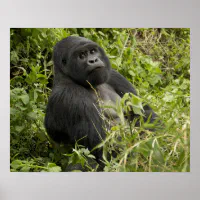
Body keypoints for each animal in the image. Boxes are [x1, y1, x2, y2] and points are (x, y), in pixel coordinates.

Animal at [45, 36, 158, 166]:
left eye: (93, 51)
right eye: (82, 55)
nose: (93, 60)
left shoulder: (114, 75)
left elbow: (146, 114)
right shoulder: (69, 96)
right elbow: (109, 147)